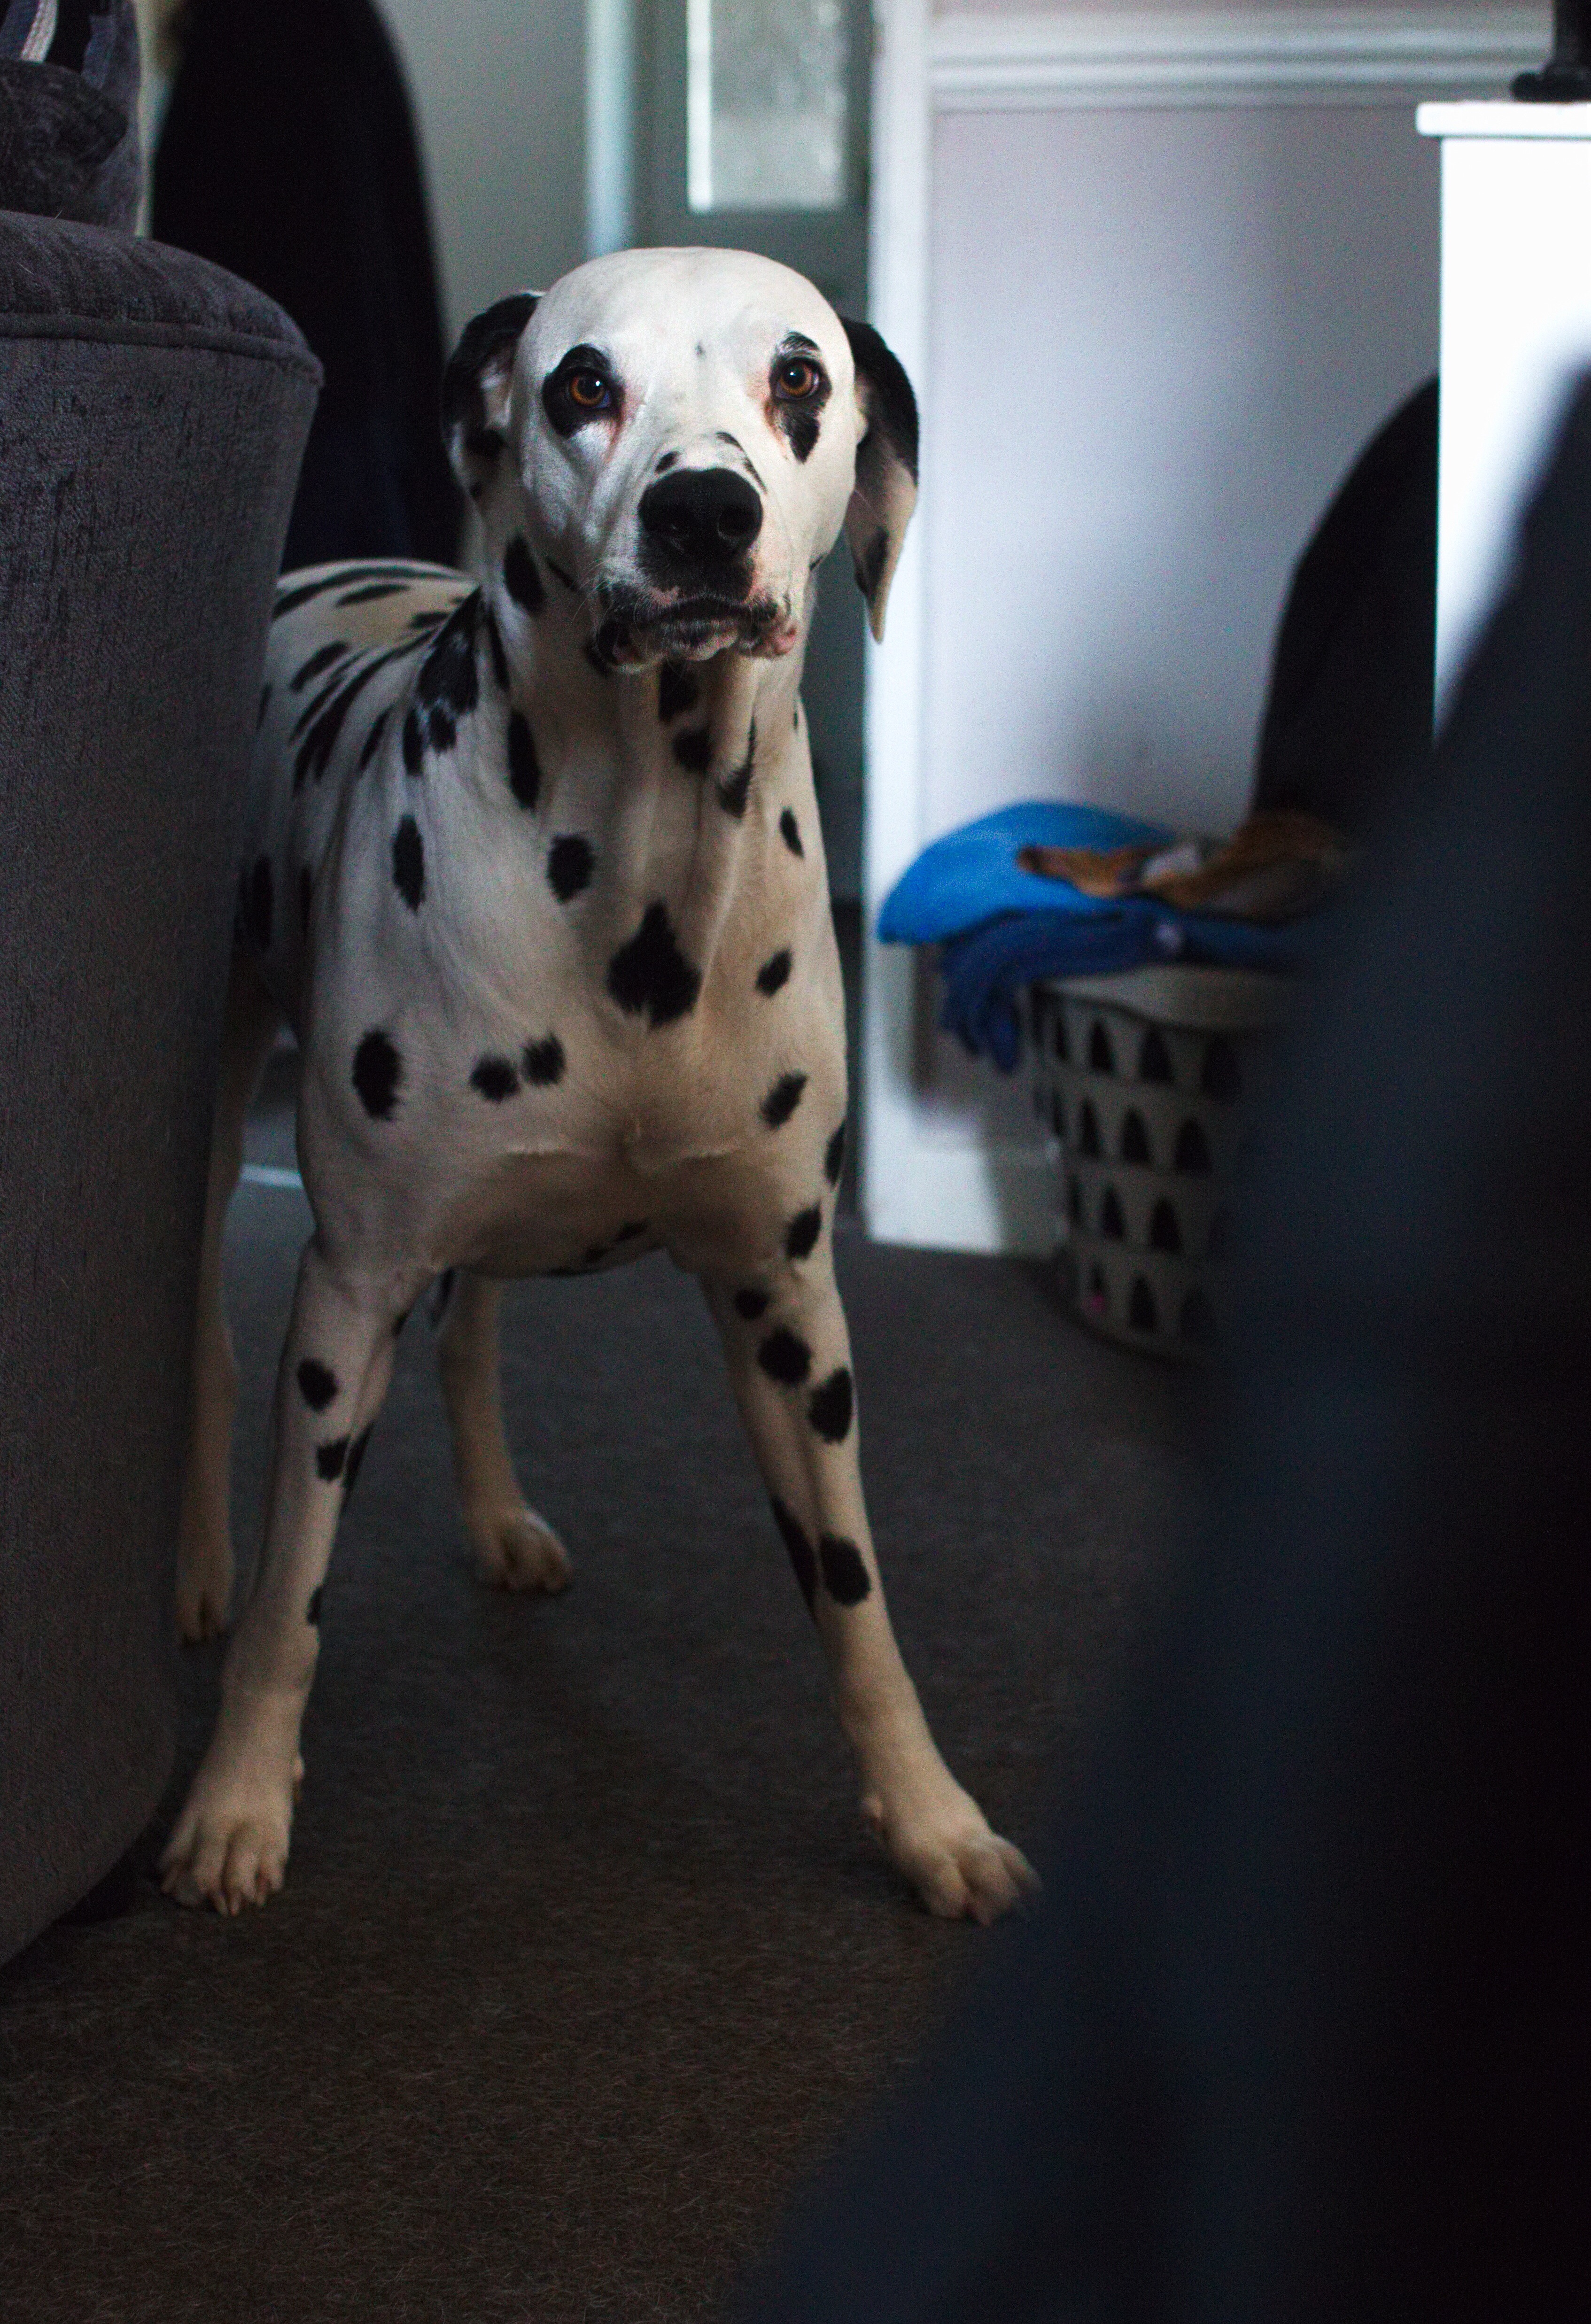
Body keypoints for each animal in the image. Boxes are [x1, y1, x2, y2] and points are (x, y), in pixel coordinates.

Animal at [160, 246, 1035, 1925]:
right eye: (582, 383)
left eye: (799, 378)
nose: (704, 515)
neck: (638, 873)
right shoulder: (347, 1289)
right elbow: (299, 1595)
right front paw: (236, 1796)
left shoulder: (788, 1308)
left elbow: (856, 1603)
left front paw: (929, 1816)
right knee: (211, 1361)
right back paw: (193, 1563)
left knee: (473, 1332)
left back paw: (498, 1516)